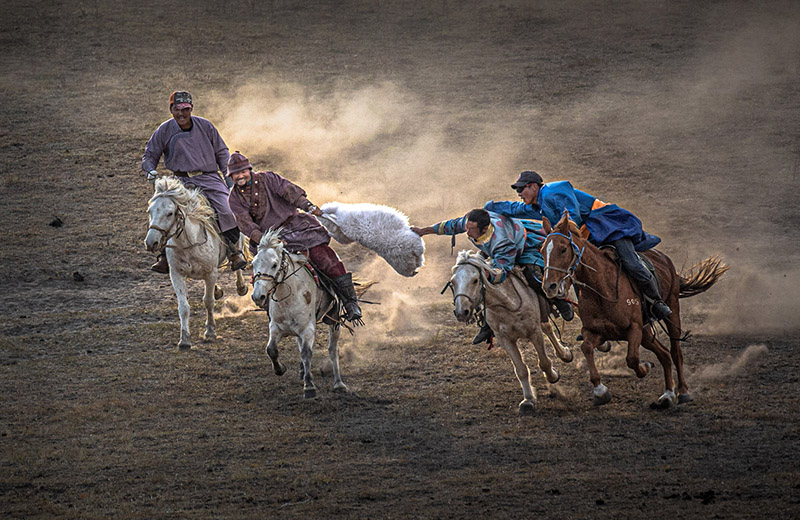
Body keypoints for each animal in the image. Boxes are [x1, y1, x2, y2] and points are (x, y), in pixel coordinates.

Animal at [144, 177, 248, 352]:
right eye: (150, 211)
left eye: (169, 213)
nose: (151, 243)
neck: (188, 242)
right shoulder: (176, 274)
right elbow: (183, 307)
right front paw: (184, 340)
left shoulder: (211, 273)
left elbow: (208, 302)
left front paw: (210, 332)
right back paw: (218, 290)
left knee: (238, 257)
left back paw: (241, 284)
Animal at [253, 229, 346, 398]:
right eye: (253, 264)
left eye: (274, 264)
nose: (258, 296)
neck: (288, 297)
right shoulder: (276, 327)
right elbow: (271, 350)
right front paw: (280, 369)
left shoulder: (307, 329)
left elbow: (307, 353)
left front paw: (309, 386)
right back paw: (303, 372)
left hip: (334, 321)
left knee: (332, 349)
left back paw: (339, 384)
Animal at [446, 251, 572, 414]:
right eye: (453, 282)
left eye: (475, 280)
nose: (461, 312)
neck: (507, 303)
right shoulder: (505, 339)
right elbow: (521, 370)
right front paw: (528, 400)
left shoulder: (534, 332)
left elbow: (544, 362)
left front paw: (553, 376)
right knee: (547, 328)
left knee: (549, 329)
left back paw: (566, 354)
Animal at [540, 210, 728, 406]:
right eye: (542, 251)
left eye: (563, 249)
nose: (549, 286)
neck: (602, 289)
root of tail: (664, 258)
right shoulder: (596, 332)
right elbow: (586, 348)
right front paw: (600, 391)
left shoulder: (634, 328)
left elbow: (632, 359)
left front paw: (644, 367)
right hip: (646, 333)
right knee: (664, 354)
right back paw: (668, 394)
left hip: (672, 309)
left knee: (675, 352)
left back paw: (682, 392)